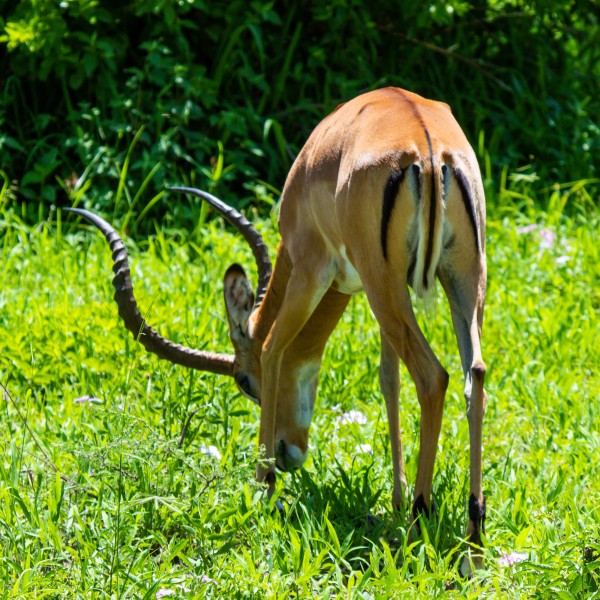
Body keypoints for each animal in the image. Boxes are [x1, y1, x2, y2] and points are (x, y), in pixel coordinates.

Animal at [67, 85, 488, 572]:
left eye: (245, 383)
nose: (289, 453)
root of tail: (427, 150)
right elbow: (388, 380)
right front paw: (395, 501)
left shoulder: (310, 269)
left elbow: (271, 347)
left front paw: (261, 484)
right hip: (456, 283)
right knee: (473, 374)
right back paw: (473, 535)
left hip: (386, 286)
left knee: (433, 376)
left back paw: (421, 520)